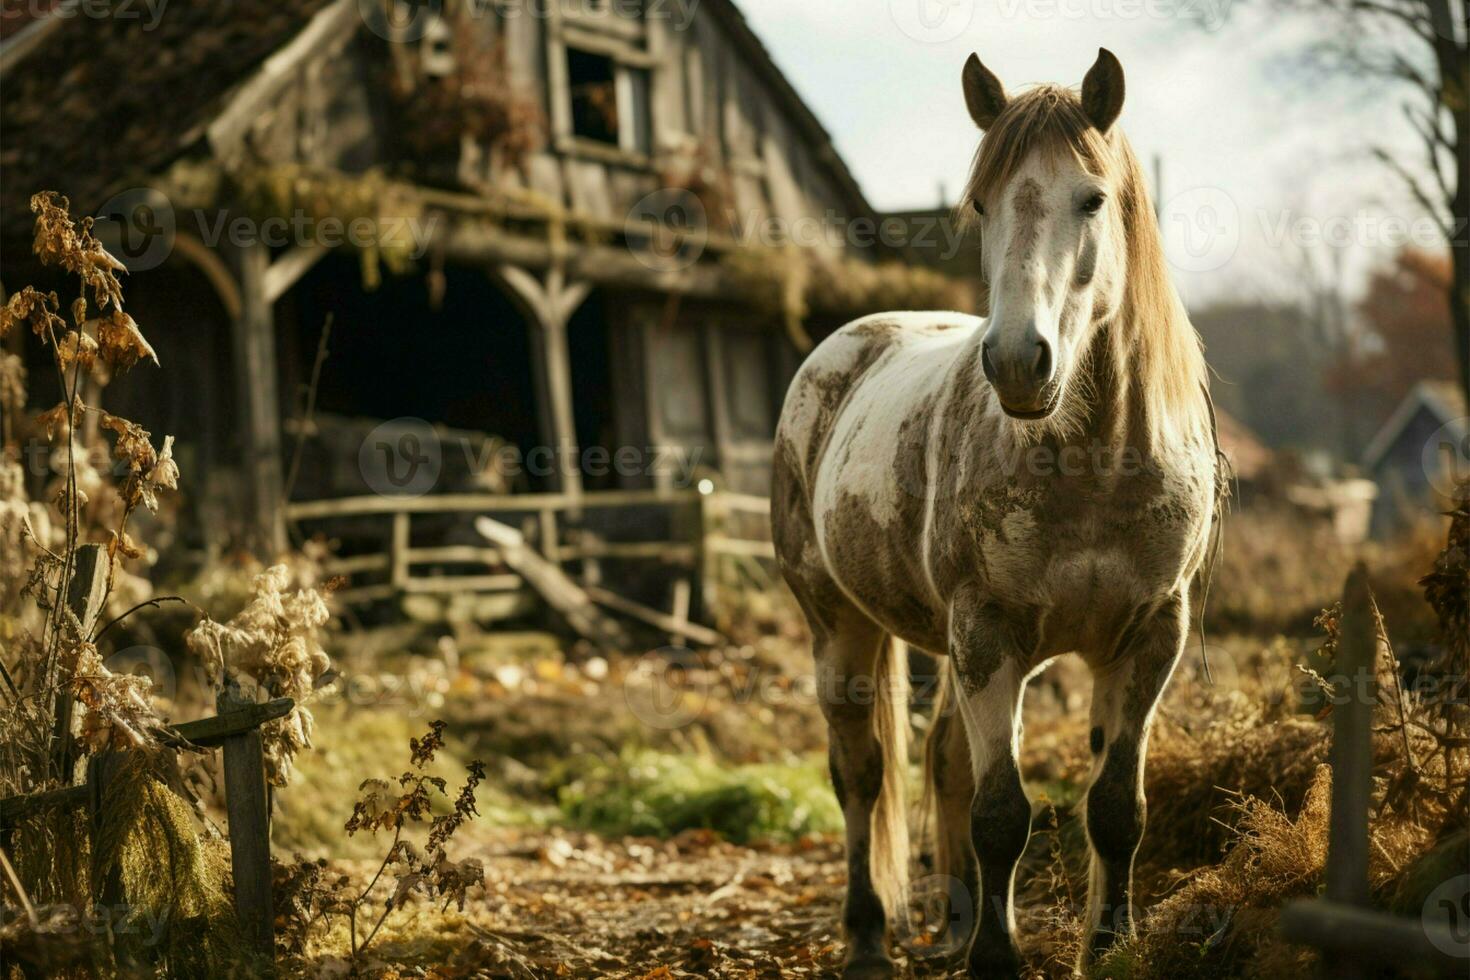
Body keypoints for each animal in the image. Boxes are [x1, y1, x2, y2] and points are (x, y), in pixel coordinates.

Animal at [770, 49, 1217, 975]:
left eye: (1092, 198)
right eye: (982, 203)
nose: (1017, 362)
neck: (1097, 466)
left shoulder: (1152, 634)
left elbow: (1115, 809)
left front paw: (1105, 947)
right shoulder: (988, 631)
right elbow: (1001, 813)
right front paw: (997, 959)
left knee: (942, 758)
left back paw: (953, 923)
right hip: (841, 626)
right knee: (861, 773)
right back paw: (868, 938)